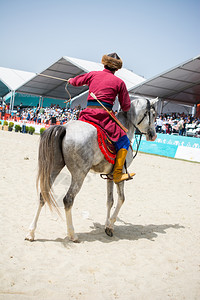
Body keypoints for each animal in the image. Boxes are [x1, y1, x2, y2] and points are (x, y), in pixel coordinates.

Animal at [25, 97, 159, 243]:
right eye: (154, 114)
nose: (153, 135)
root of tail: (64, 127)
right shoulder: (121, 175)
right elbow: (121, 199)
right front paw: (111, 224)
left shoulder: (110, 176)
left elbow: (110, 201)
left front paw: (107, 226)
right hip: (79, 174)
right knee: (68, 199)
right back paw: (72, 234)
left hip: (54, 169)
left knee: (43, 195)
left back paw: (31, 232)